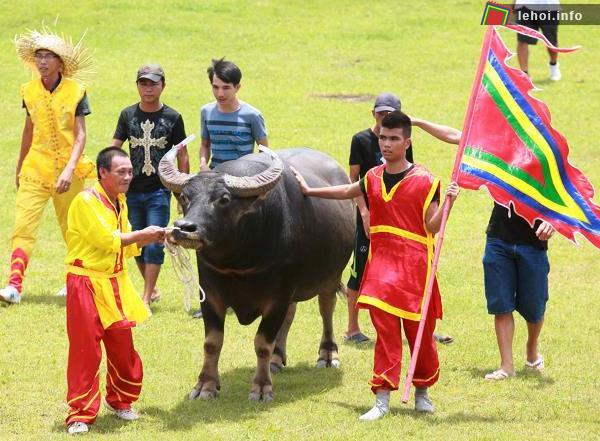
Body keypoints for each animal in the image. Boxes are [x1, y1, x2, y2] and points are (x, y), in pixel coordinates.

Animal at [161, 146, 356, 400]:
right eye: (185, 196)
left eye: (224, 199)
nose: (184, 228)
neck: (238, 263)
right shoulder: (211, 295)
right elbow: (212, 342)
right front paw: (205, 385)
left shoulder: (277, 297)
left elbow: (262, 343)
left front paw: (262, 387)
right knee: (291, 314)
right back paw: (277, 358)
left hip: (331, 276)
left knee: (326, 309)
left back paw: (328, 354)